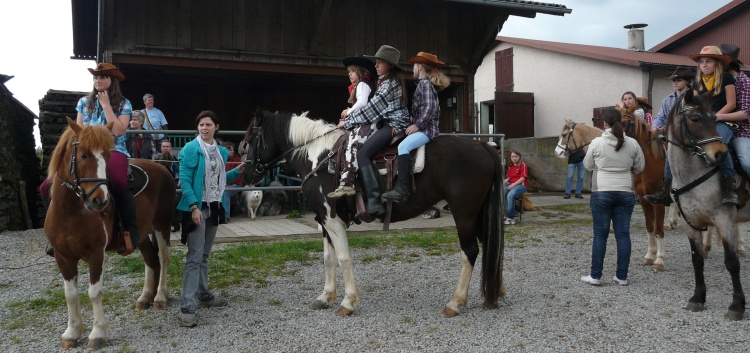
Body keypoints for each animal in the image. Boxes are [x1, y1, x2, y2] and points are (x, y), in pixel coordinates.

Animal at [45, 117, 176, 350]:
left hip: (162, 224)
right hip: (142, 234)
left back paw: (160, 296)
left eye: (107, 156)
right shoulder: (63, 256)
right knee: (151, 260)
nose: (99, 200)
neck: (70, 212)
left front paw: (97, 333)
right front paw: (71, 333)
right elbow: (70, 294)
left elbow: (94, 293)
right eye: (83, 155)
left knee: (163, 258)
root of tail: (162, 168)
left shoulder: (96, 254)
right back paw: (145, 297)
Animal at [668, 90, 748, 320]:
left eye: (714, 119)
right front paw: (698, 298)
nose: (720, 154)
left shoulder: (724, 220)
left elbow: (732, 263)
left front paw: (737, 306)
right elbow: (697, 260)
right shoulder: (690, 223)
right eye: (695, 119)